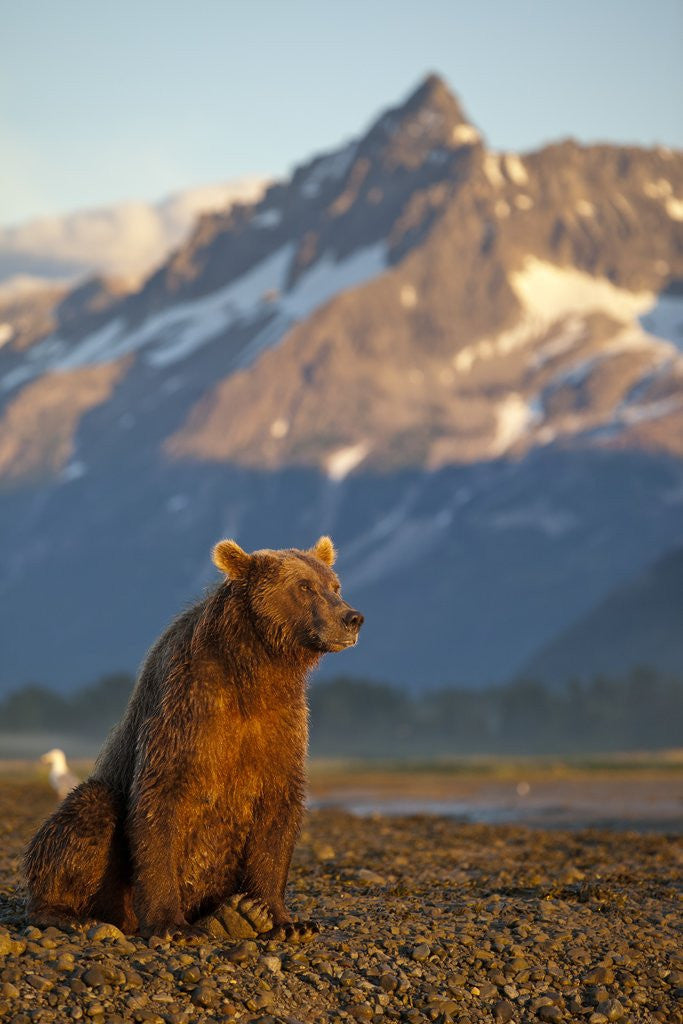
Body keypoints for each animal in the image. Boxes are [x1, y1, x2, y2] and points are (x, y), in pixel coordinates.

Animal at [24, 535, 363, 941]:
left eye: (335, 585)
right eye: (304, 586)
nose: (352, 618)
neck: (256, 669)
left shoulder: (282, 725)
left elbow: (278, 810)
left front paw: (284, 919)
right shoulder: (187, 712)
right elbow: (160, 802)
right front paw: (171, 924)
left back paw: (233, 915)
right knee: (88, 812)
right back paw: (66, 913)